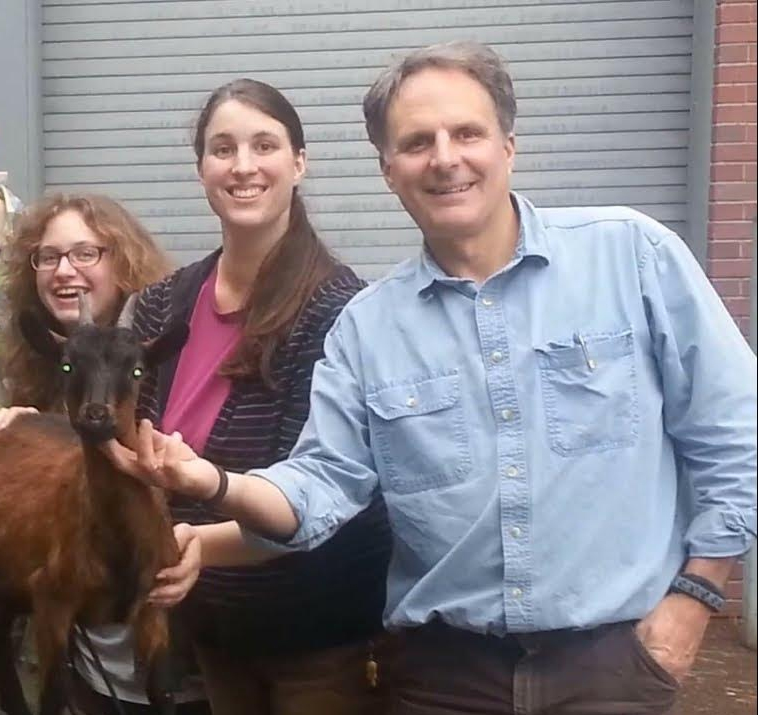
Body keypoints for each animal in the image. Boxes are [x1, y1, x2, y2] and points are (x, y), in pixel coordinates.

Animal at [0, 294, 189, 712]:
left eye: (137, 370)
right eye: (67, 365)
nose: (96, 416)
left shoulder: (154, 608)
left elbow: (163, 693)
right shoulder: (51, 600)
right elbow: (54, 695)